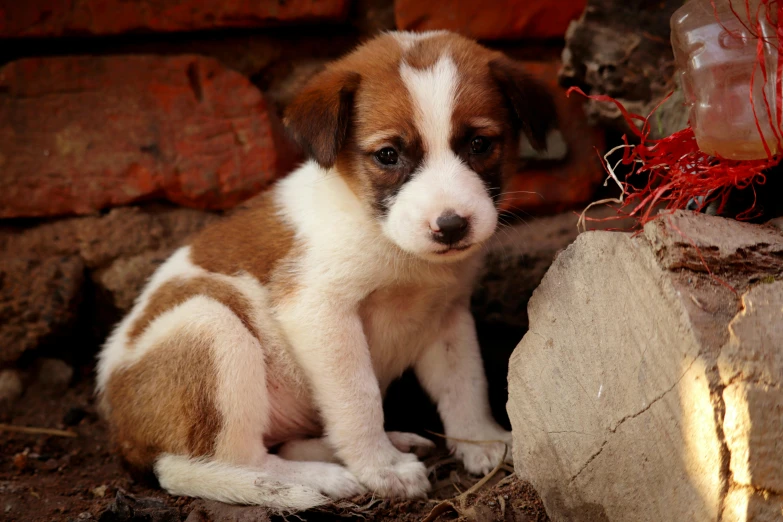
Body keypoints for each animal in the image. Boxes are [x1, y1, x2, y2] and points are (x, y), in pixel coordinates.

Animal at [93, 30, 556, 510]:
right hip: (211, 325)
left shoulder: (447, 314)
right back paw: (319, 478)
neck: (384, 237)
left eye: (480, 144)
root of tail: (129, 442)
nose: (451, 226)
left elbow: (465, 381)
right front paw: (381, 468)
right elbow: (358, 398)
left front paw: (481, 440)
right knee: (239, 458)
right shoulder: (318, 311)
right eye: (387, 155)